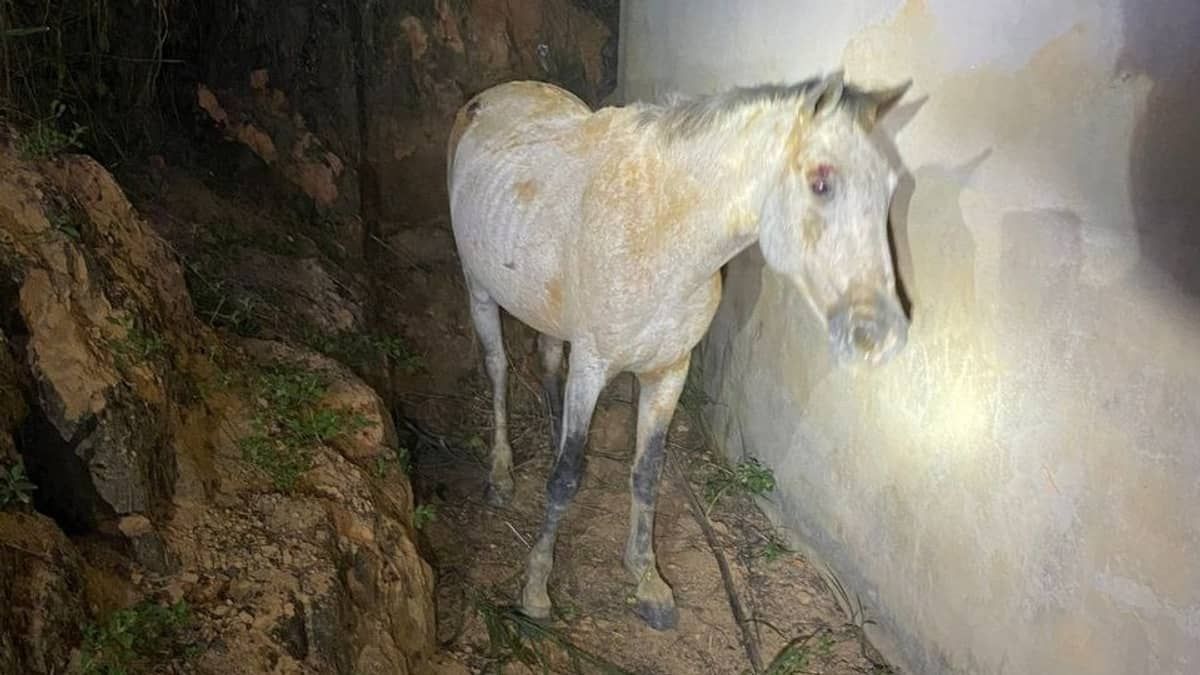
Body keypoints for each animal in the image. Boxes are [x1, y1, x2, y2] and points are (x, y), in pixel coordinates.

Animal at [446, 71, 912, 630]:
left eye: (890, 189)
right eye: (822, 182)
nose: (881, 334)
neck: (658, 236)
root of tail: (493, 94)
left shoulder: (668, 372)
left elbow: (647, 474)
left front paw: (647, 581)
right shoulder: (592, 367)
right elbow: (565, 478)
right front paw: (537, 587)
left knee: (546, 359)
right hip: (479, 290)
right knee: (497, 370)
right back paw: (500, 475)